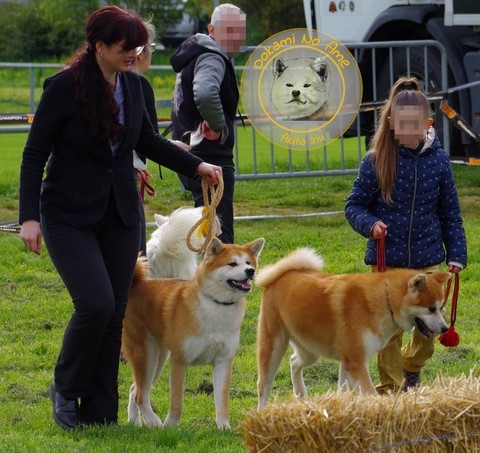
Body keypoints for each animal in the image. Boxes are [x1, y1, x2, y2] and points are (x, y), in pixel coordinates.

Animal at [122, 235, 264, 430]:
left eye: (249, 262)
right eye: (232, 264)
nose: (250, 271)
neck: (216, 305)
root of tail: (136, 285)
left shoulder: (223, 361)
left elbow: (222, 401)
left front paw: (224, 427)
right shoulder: (180, 360)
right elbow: (177, 403)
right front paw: (171, 426)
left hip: (158, 360)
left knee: (134, 389)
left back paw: (135, 422)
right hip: (146, 354)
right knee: (140, 395)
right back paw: (154, 422)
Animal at [255, 247, 450, 406]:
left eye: (440, 307)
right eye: (431, 309)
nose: (445, 329)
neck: (385, 299)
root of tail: (281, 275)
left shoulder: (349, 360)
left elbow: (343, 389)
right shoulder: (356, 361)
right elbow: (370, 393)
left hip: (310, 350)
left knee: (294, 361)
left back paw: (301, 394)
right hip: (274, 347)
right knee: (264, 385)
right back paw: (262, 411)